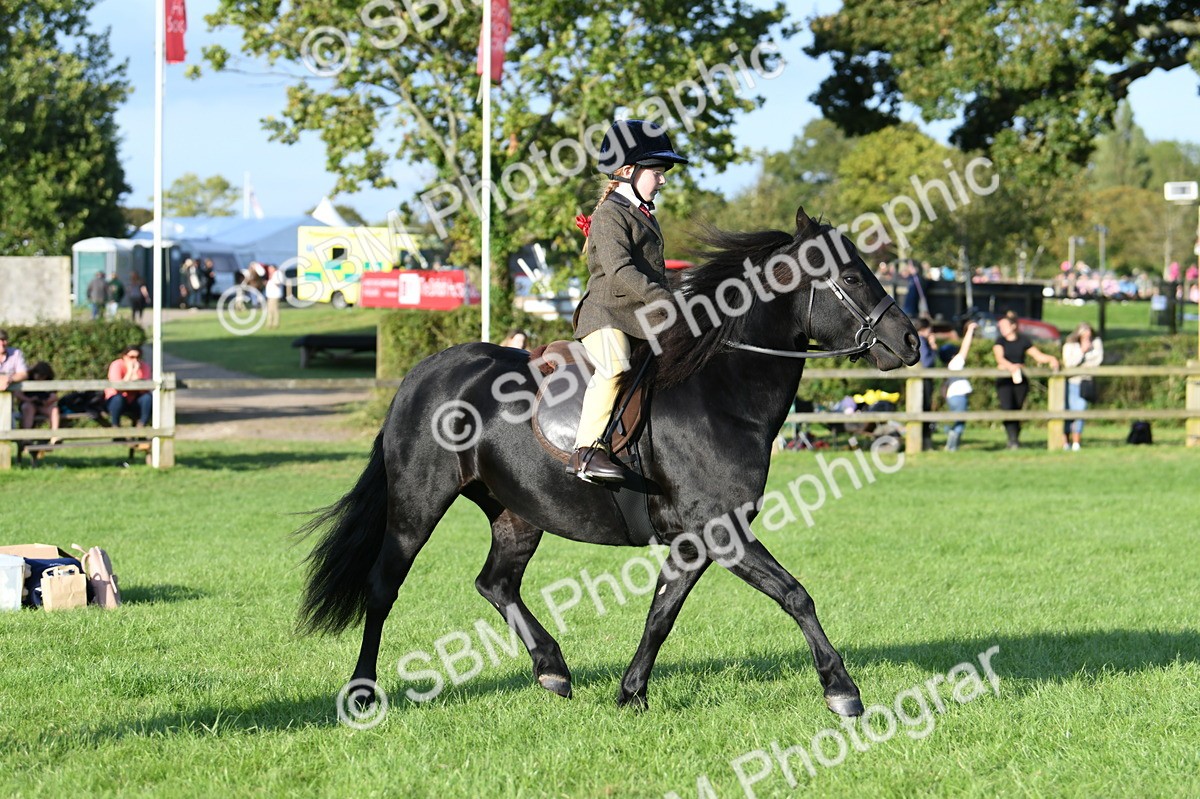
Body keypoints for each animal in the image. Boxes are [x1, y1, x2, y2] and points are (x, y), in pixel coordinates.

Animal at [299, 207, 920, 717]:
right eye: (851, 276)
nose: (911, 341)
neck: (721, 392)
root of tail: (423, 374)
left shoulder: (696, 541)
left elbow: (661, 614)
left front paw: (631, 693)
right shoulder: (722, 532)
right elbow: (795, 595)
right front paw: (842, 690)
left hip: (518, 513)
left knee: (495, 583)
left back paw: (552, 669)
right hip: (417, 505)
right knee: (384, 587)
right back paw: (362, 694)